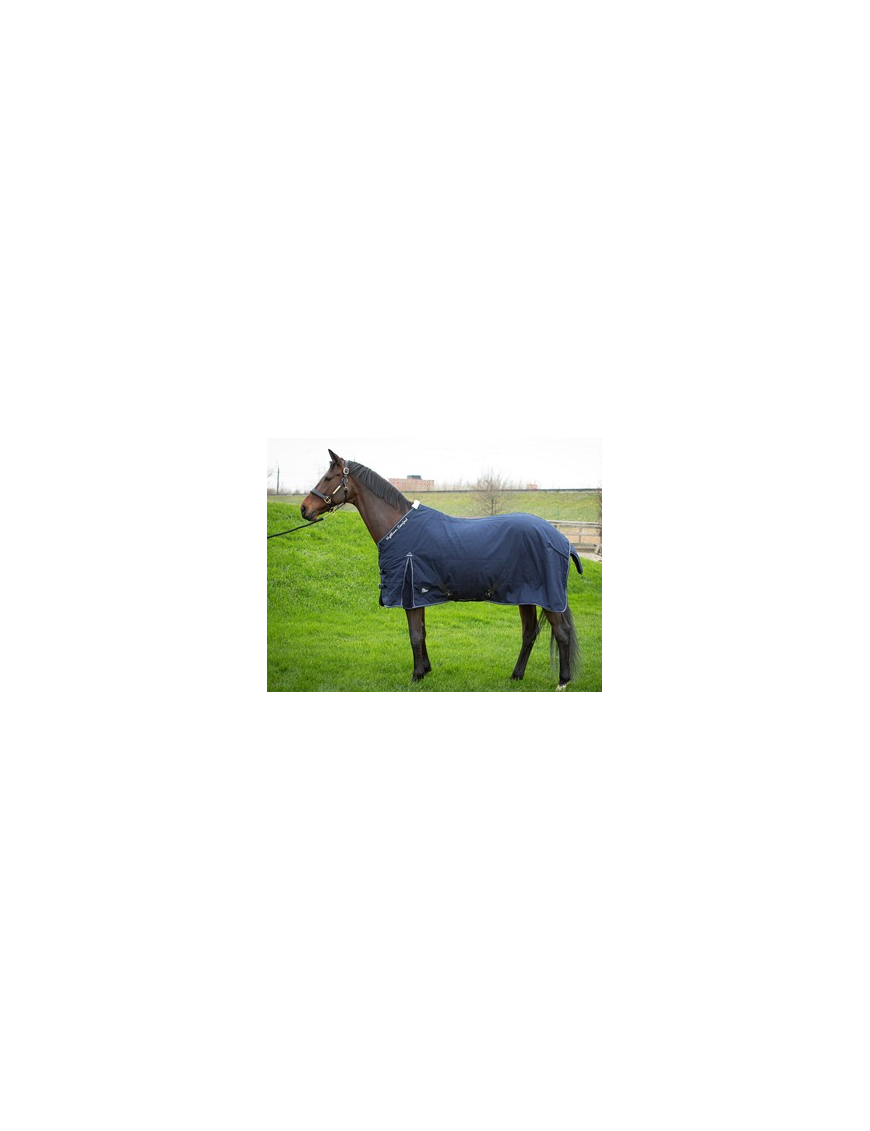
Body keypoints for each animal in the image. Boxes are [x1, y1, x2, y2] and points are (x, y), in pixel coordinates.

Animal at [300, 449, 584, 689]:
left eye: (328, 478)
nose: (304, 508)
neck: (398, 526)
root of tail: (561, 539)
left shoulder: (410, 592)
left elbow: (415, 634)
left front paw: (416, 676)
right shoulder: (417, 594)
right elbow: (422, 632)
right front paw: (426, 670)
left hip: (548, 597)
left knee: (562, 633)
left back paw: (562, 681)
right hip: (525, 596)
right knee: (529, 633)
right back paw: (516, 676)